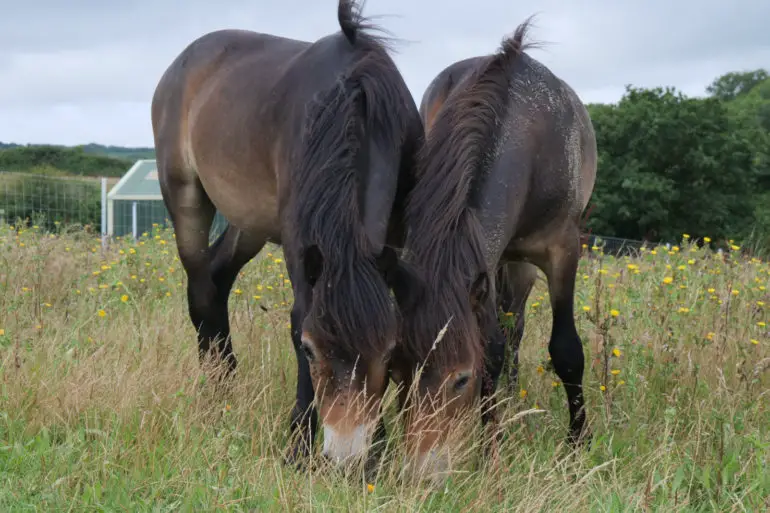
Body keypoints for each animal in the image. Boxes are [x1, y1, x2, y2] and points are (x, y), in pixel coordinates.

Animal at [149, 1, 420, 468]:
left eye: (389, 351)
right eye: (310, 351)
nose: (345, 457)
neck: (354, 102)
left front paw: (379, 443)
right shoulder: (300, 248)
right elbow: (299, 319)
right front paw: (299, 444)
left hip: (249, 222)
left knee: (218, 277)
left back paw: (227, 382)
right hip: (185, 196)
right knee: (200, 287)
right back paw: (215, 393)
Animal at [390, 17, 592, 480]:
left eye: (461, 379)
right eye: (397, 372)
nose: (420, 472)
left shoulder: (562, 250)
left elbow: (566, 350)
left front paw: (577, 444)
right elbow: (493, 347)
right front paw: (491, 445)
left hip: (523, 267)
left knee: (517, 326)